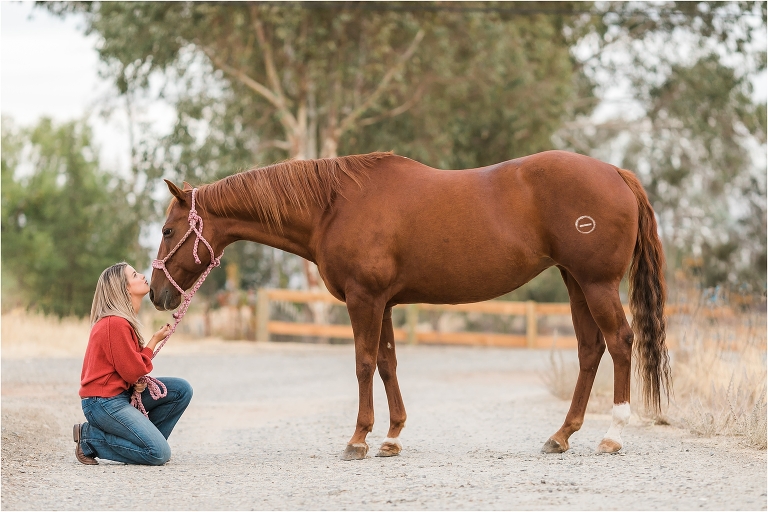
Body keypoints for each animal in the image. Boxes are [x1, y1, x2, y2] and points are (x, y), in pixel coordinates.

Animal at [150, 150, 671, 460]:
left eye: (168, 230)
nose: (156, 294)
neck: (333, 206)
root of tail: (616, 173)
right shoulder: (383, 302)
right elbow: (387, 363)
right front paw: (392, 436)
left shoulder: (364, 300)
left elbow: (363, 364)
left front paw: (359, 439)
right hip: (575, 282)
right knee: (590, 350)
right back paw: (561, 435)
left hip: (596, 283)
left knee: (620, 342)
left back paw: (613, 434)